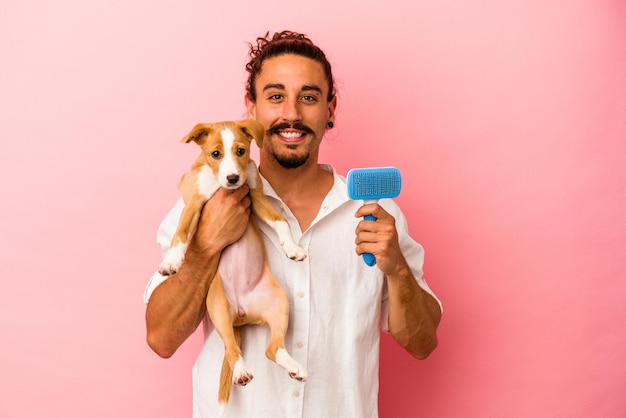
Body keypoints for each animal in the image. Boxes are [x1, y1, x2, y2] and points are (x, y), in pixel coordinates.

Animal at [158, 119, 308, 414]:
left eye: (241, 151)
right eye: (215, 154)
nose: (232, 179)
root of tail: (241, 314)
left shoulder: (255, 197)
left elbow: (281, 222)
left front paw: (292, 248)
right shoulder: (194, 203)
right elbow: (180, 235)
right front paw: (171, 261)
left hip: (279, 302)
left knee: (271, 349)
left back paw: (293, 366)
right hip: (218, 308)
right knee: (230, 348)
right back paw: (240, 371)